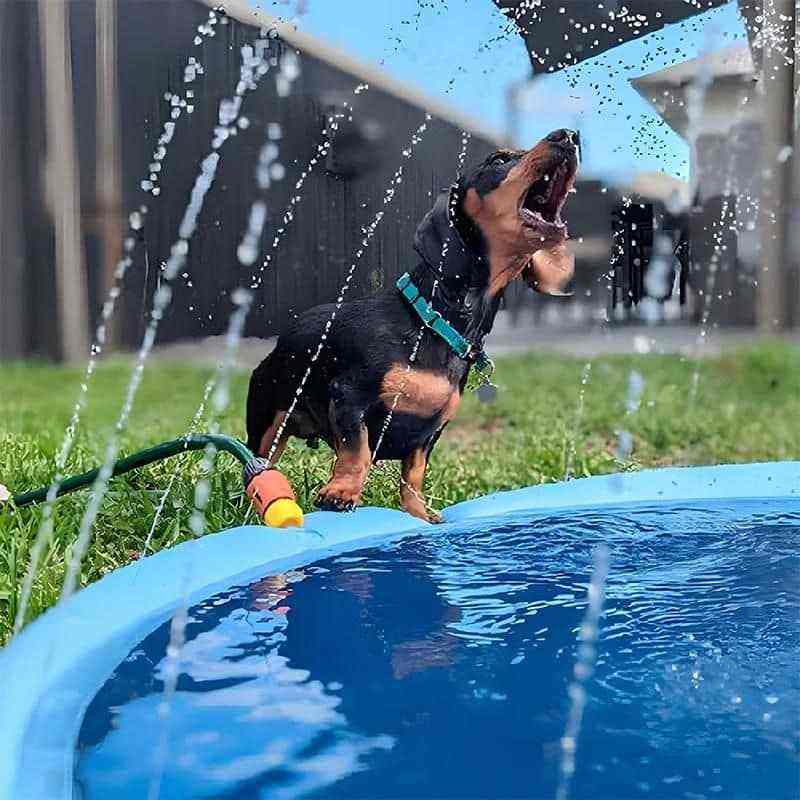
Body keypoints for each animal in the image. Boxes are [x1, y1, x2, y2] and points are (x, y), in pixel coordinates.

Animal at [247, 128, 580, 520]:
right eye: (497, 160)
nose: (569, 135)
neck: (432, 322)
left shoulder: (430, 431)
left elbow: (414, 475)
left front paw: (420, 515)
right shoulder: (349, 396)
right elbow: (357, 451)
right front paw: (341, 493)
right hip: (267, 420)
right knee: (258, 463)